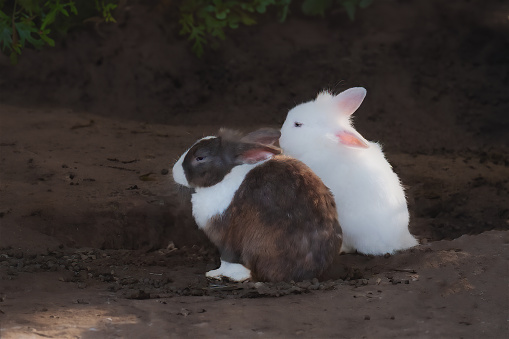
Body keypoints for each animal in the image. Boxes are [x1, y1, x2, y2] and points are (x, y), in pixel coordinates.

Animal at [172, 127, 342, 282]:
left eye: (200, 157)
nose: (174, 172)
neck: (225, 176)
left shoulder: (226, 237)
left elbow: (227, 259)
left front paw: (216, 274)